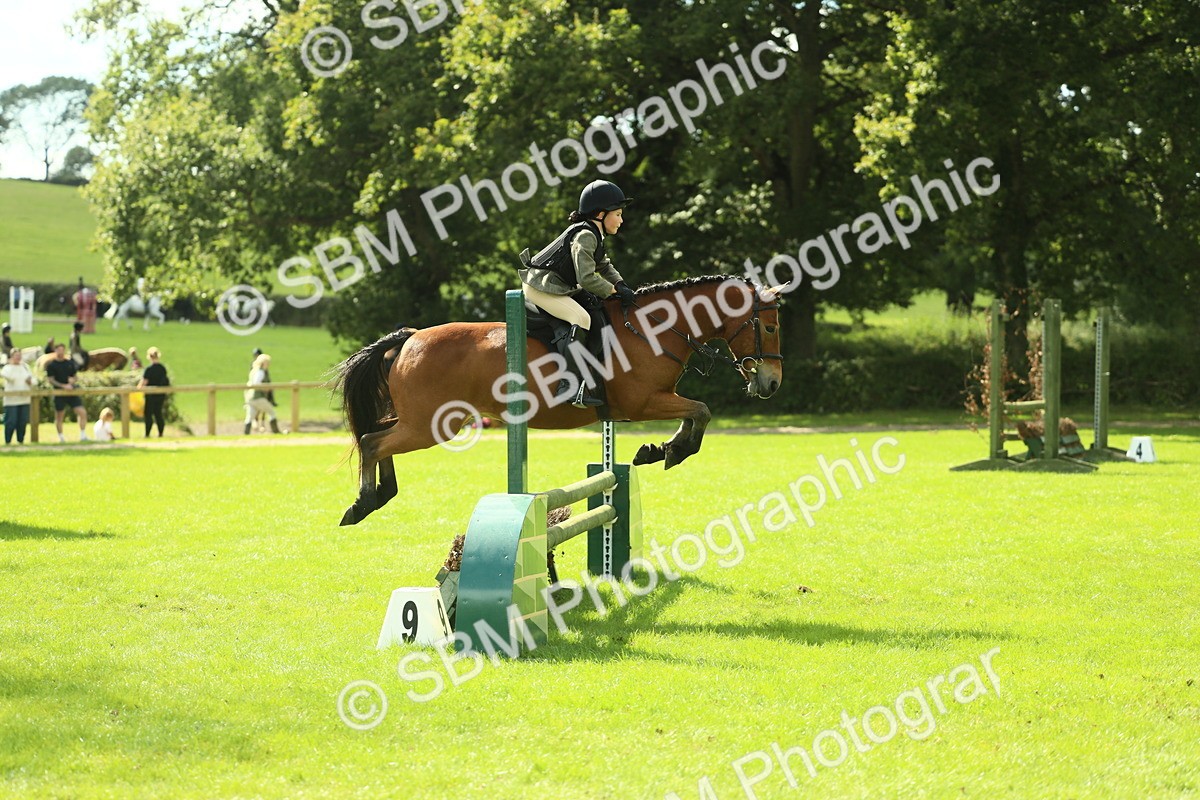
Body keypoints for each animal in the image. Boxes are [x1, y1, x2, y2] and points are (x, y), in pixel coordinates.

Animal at [333, 275, 784, 526]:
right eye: (769, 326)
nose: (772, 383)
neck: (655, 327)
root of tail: (409, 338)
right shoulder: (642, 403)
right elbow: (701, 411)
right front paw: (669, 450)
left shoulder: (652, 401)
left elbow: (696, 414)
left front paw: (660, 449)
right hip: (431, 425)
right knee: (372, 442)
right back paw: (365, 501)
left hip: (421, 422)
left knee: (375, 437)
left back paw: (381, 493)